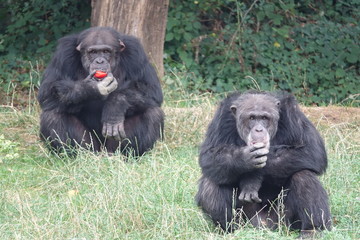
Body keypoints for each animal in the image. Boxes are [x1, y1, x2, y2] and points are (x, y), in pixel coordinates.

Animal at [37, 26, 164, 158]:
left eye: (106, 51)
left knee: (152, 114)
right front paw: (91, 88)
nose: (99, 61)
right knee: (52, 116)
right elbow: (47, 93)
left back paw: (124, 157)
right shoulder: (63, 54)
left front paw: (115, 106)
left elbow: (151, 92)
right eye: (93, 52)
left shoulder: (136, 54)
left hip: (111, 147)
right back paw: (79, 157)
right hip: (92, 146)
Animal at [197, 90, 332, 238]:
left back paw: (311, 230)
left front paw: (252, 178)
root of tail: (261, 225)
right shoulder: (222, 118)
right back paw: (229, 230)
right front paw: (244, 158)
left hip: (282, 221)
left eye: (265, 118)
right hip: (245, 219)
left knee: (303, 175)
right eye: (251, 118)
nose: (258, 129)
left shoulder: (292, 114)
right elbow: (210, 155)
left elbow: (311, 150)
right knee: (212, 181)